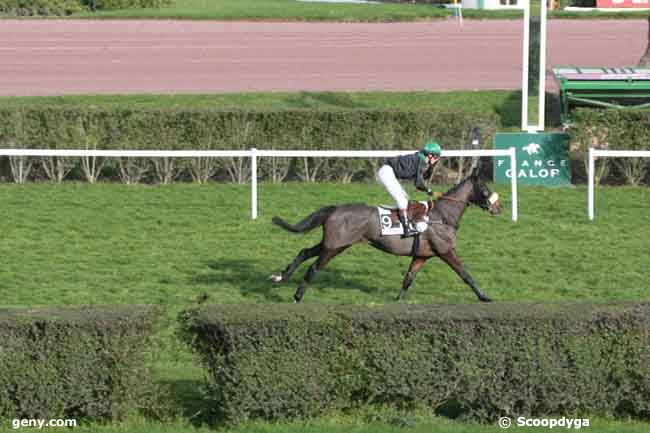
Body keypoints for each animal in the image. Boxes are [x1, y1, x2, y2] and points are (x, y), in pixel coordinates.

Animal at [268, 167, 502, 302]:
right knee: (313, 267)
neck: (443, 216)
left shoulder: (421, 256)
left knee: (304, 252)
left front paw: (398, 300)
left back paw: (280, 276)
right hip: (335, 247)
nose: (498, 208)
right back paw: (297, 296)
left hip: (333, 243)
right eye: (485, 188)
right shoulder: (446, 251)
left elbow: (408, 279)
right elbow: (466, 275)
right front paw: (484, 296)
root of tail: (335, 209)